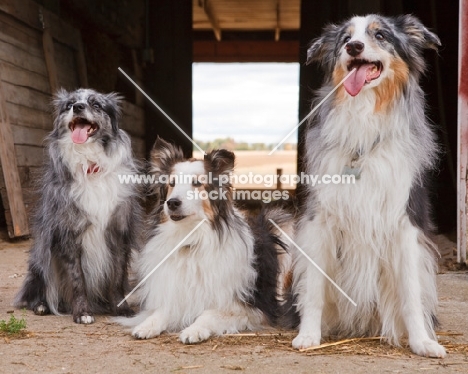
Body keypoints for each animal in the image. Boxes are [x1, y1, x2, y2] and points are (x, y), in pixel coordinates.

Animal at [15, 88, 143, 324]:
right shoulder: (69, 233)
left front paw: (121, 308)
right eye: (69, 105)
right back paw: (41, 305)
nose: (78, 107)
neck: (89, 165)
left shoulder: (118, 231)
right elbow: (78, 279)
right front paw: (83, 313)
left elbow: (117, 276)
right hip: (42, 255)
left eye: (96, 104)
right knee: (36, 288)